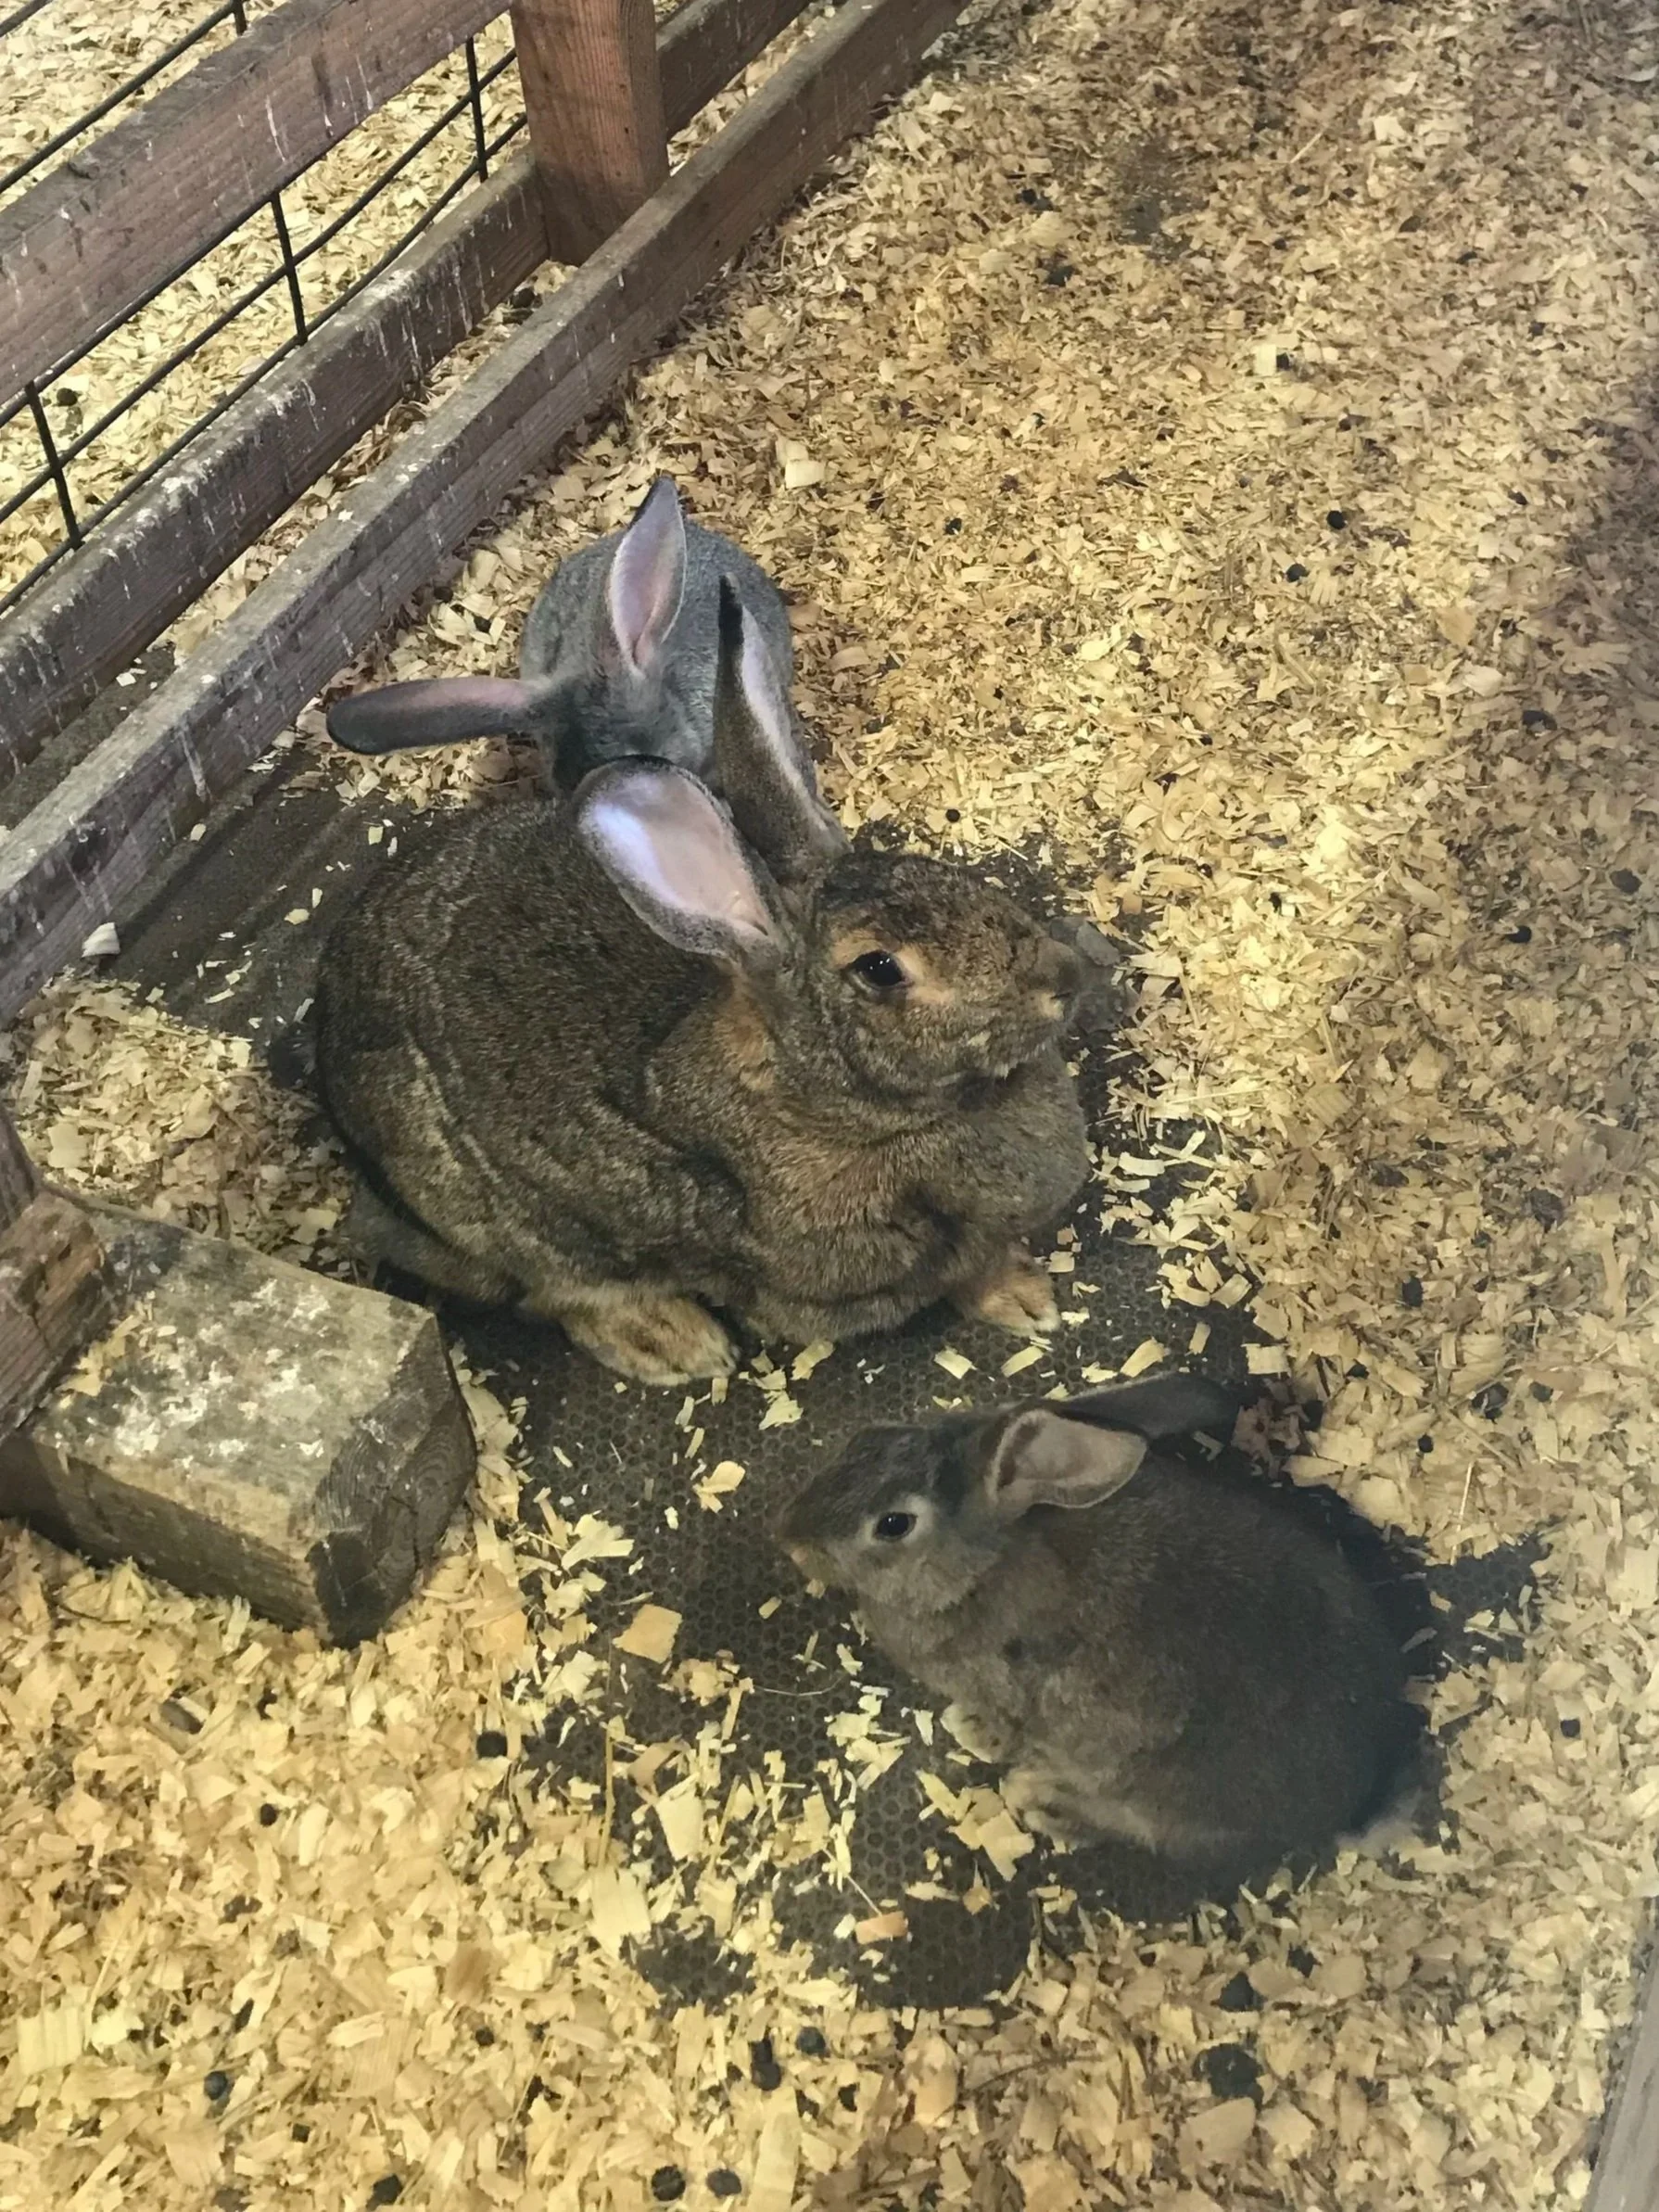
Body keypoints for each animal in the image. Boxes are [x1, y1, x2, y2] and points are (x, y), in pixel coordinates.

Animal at [312, 577, 1093, 1388]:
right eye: (880, 970)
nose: (1065, 979)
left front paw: (1028, 1300)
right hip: (493, 1214)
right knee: (553, 1290)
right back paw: (672, 1342)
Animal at [777, 1372, 1424, 1878]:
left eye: (893, 1524)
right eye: (870, 1436)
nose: (792, 1540)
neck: (980, 1565)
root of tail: (1348, 1803)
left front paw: (974, 1731)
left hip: (1147, 1794)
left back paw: (1044, 1803)